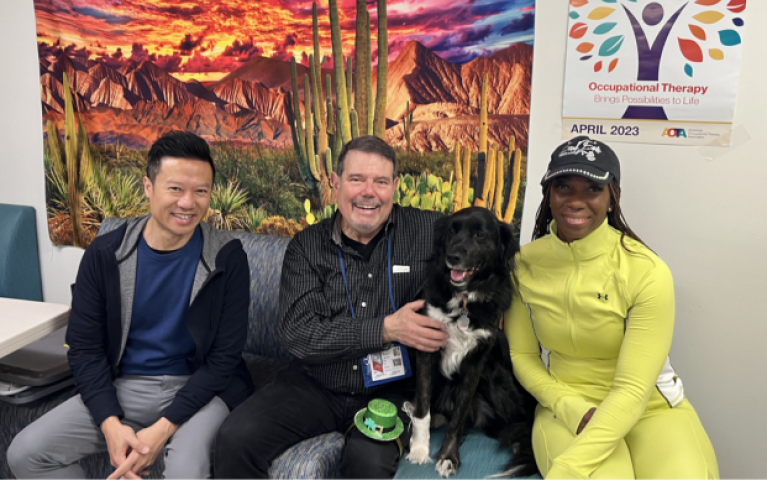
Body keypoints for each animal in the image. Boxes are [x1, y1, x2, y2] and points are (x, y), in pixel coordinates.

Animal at [404, 208, 536, 478]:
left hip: (496, 381)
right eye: (451, 231)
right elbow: (423, 408)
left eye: (480, 235)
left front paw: (448, 457)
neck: (464, 300)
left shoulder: (476, 363)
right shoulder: (426, 349)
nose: (452, 257)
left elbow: (459, 416)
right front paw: (420, 449)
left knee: (512, 422)